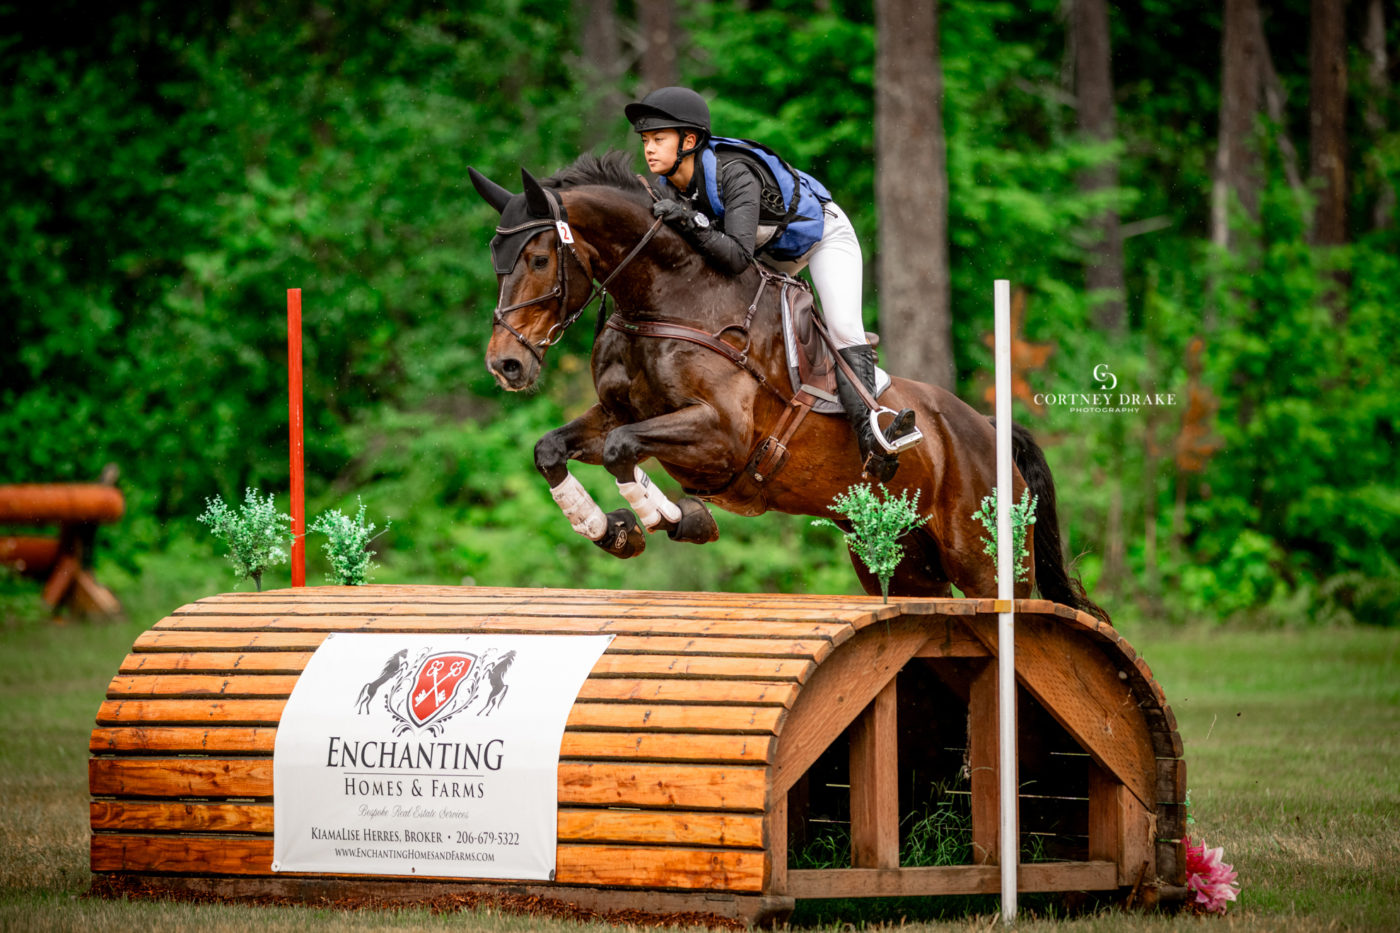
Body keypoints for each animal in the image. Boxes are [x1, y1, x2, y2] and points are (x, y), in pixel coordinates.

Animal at [470, 152, 1103, 616]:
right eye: (497, 258)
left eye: (539, 260)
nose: (506, 365)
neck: (665, 300)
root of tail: (988, 428)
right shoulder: (617, 413)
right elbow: (553, 448)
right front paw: (609, 529)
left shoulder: (721, 435)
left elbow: (624, 451)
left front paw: (677, 519)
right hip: (905, 561)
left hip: (986, 561)